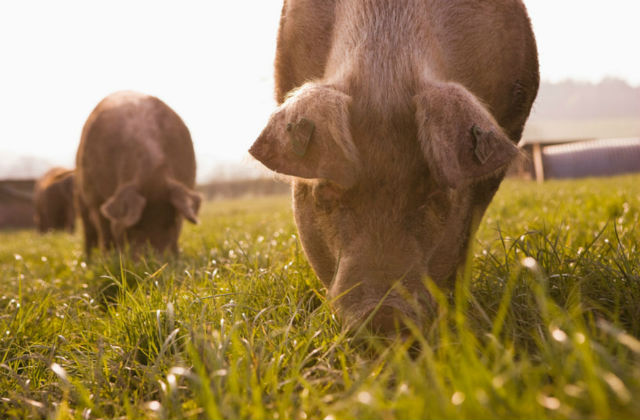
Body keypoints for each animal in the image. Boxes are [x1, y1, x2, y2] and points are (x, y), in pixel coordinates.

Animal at [75, 91, 201, 256]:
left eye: (171, 222)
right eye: (135, 226)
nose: (155, 259)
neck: (152, 174)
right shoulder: (94, 197)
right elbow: (105, 230)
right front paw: (109, 257)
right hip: (82, 198)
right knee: (90, 232)